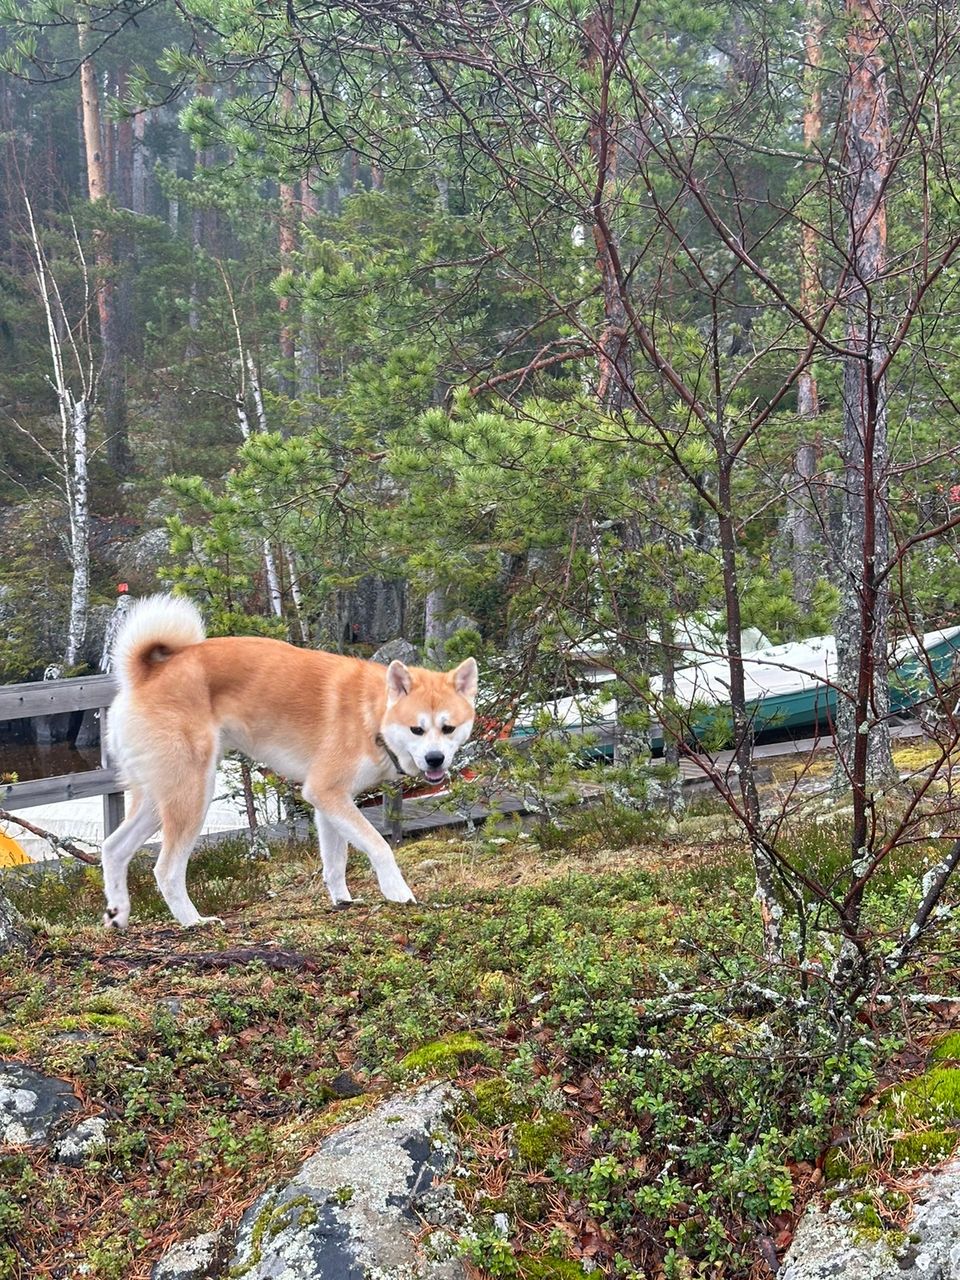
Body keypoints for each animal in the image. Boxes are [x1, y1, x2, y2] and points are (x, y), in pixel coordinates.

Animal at [101, 593, 478, 926]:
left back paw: (118, 914)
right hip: (191, 795)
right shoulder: (326, 793)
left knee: (113, 848)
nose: (435, 759)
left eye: (448, 728)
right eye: (417, 729)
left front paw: (343, 902)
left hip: (158, 798)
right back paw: (194, 921)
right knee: (166, 870)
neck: (371, 715)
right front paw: (398, 893)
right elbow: (380, 846)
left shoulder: (329, 803)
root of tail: (145, 675)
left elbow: (335, 863)